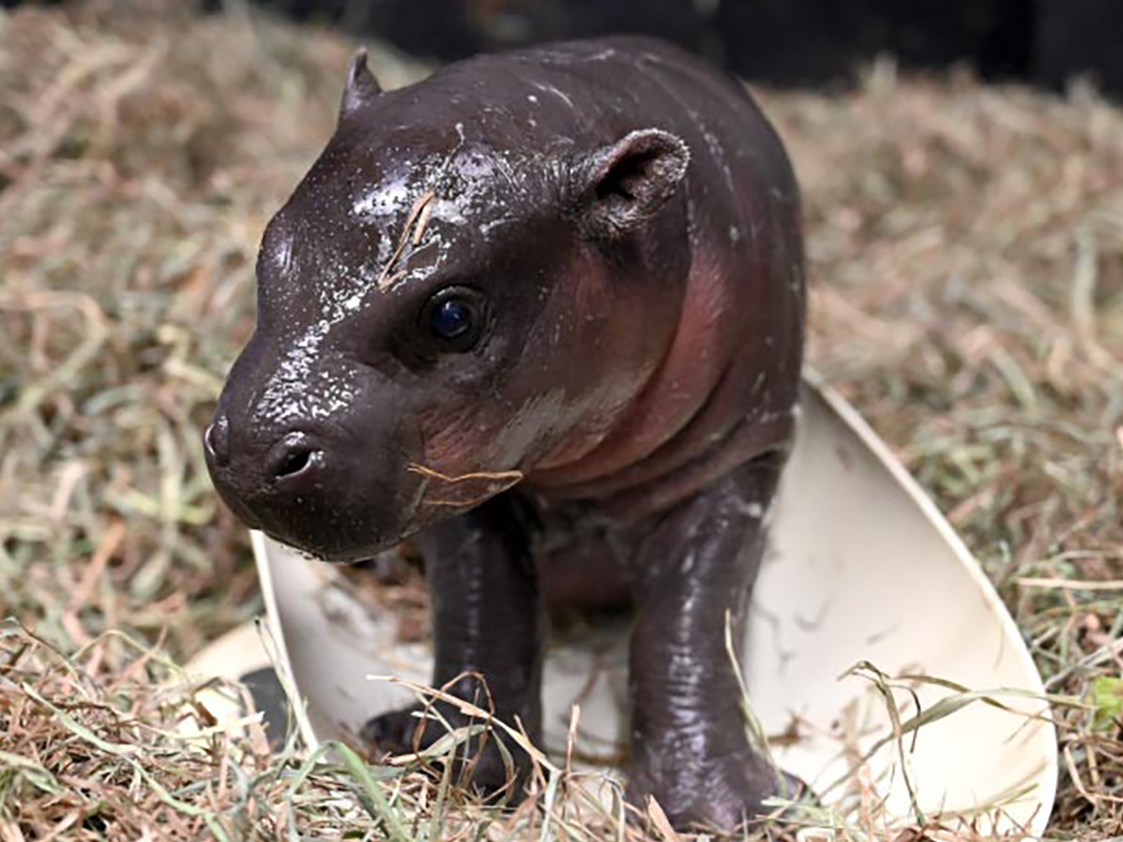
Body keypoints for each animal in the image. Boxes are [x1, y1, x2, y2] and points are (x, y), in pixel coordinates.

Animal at [204, 36, 805, 831]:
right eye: (269, 252)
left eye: (451, 315)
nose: (249, 449)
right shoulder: (468, 486)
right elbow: (489, 608)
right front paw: (456, 762)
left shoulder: (738, 459)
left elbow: (690, 623)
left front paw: (726, 811)